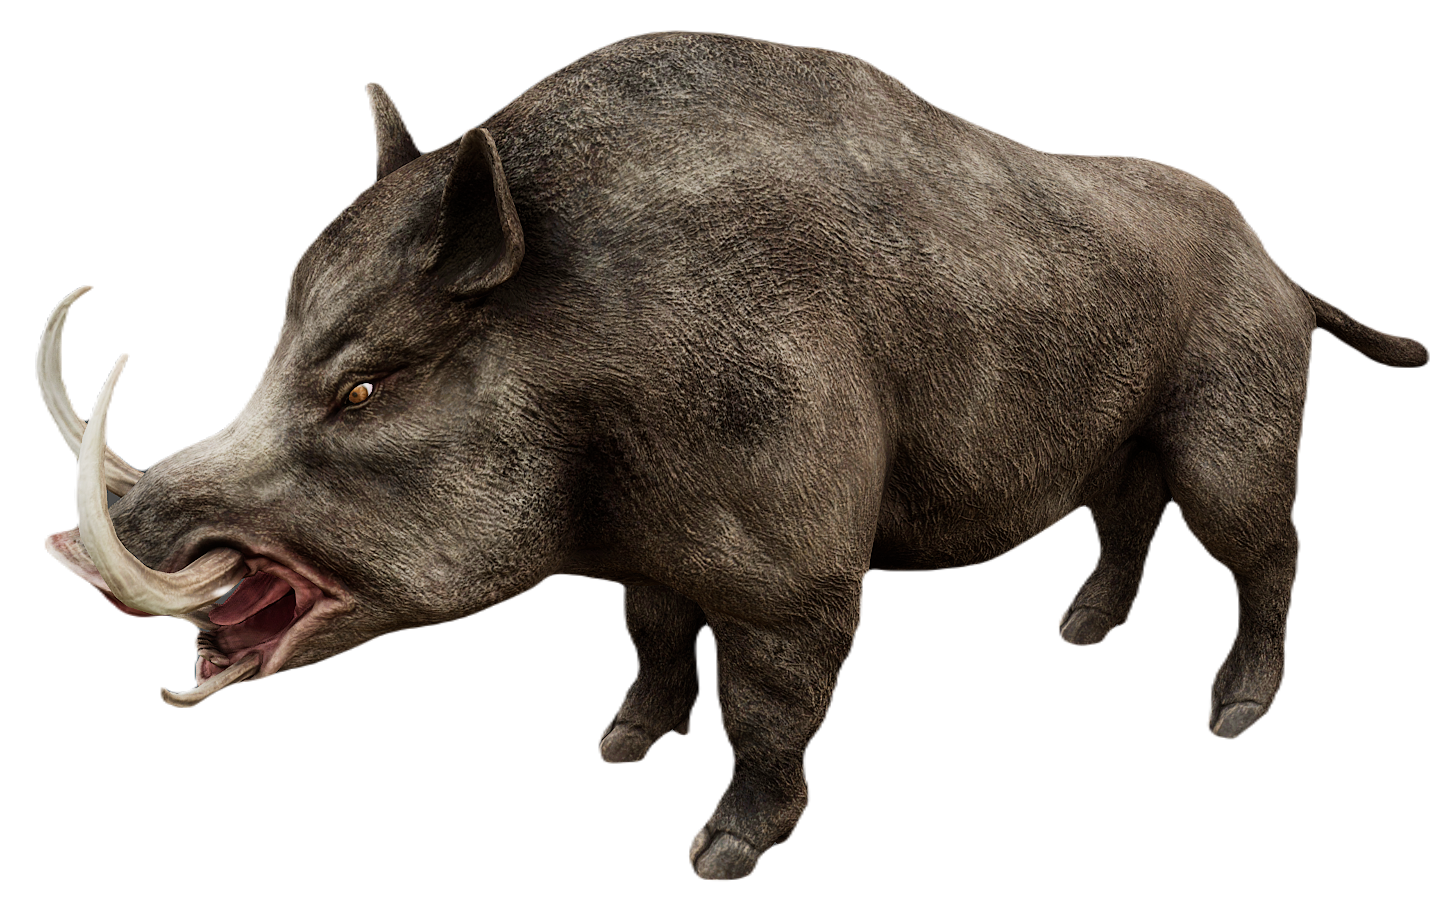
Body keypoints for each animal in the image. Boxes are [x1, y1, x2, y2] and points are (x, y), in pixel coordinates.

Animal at [39, 30, 1429, 880]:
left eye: (366, 387)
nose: (101, 548)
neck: (562, 325)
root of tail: (1276, 252)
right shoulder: (637, 543)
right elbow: (654, 636)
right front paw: (619, 746)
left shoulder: (794, 568)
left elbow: (771, 697)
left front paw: (722, 852)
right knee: (1116, 487)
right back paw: (1080, 634)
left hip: (1239, 335)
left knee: (1246, 522)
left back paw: (1234, 714)